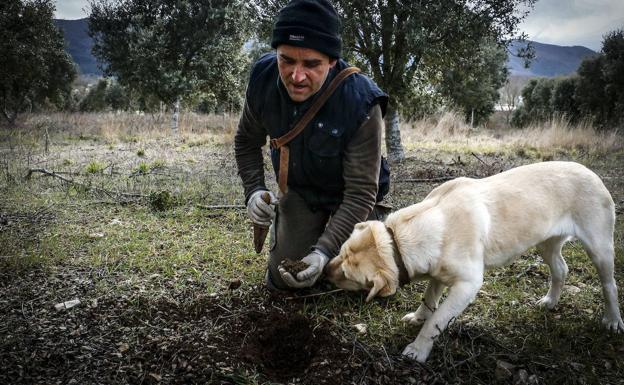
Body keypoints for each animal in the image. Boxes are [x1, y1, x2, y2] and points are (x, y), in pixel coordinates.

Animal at [324, 160, 620, 362]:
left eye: (348, 276)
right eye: (340, 252)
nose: (325, 270)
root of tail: (590, 171)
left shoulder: (467, 285)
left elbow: (437, 319)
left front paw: (418, 349)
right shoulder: (438, 275)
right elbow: (429, 301)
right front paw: (418, 317)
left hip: (599, 248)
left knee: (610, 285)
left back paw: (612, 320)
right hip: (546, 243)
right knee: (561, 269)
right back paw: (550, 301)